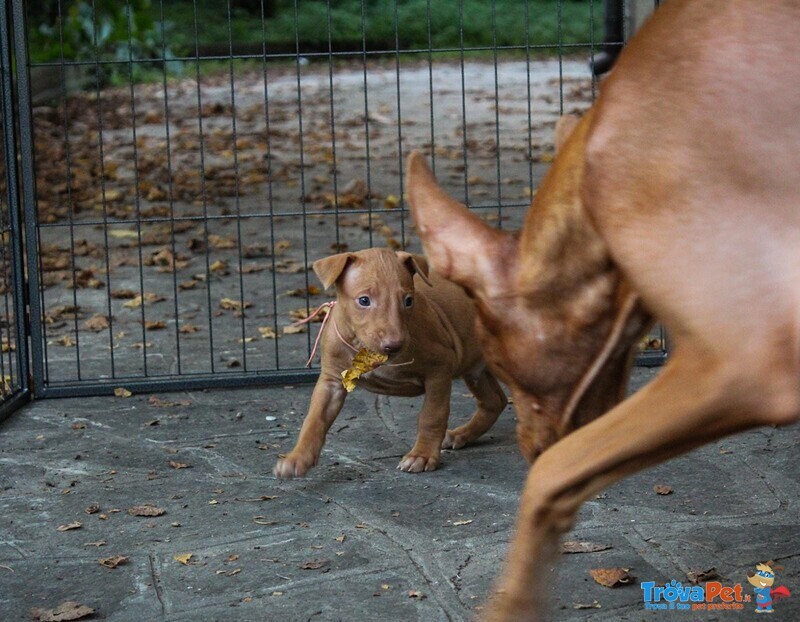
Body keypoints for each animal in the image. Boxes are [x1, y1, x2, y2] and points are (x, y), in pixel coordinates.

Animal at [272, 249, 504, 478]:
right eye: (364, 300)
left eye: (408, 301)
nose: (394, 345)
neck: (366, 350)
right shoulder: (332, 381)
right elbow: (314, 420)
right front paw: (297, 458)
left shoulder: (439, 369)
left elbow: (432, 416)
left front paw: (422, 455)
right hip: (476, 369)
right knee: (495, 401)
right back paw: (461, 435)